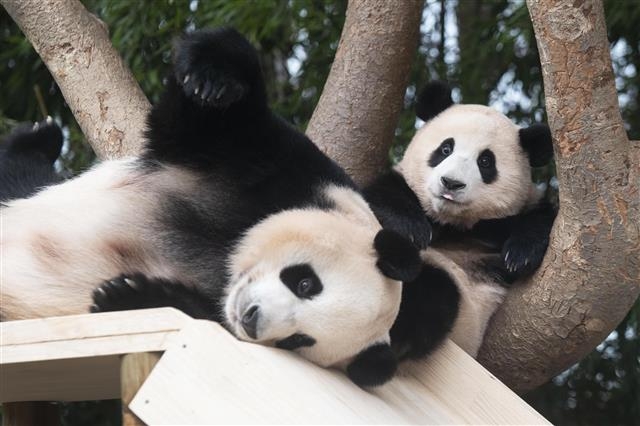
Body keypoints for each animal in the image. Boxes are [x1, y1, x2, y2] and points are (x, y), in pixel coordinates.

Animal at [1, 26, 430, 386]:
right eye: (306, 283)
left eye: (299, 340)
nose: (253, 318)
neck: (229, 249)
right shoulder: (290, 173)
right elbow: (208, 122)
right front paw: (214, 80)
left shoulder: (216, 306)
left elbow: (190, 309)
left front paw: (128, 293)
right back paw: (40, 136)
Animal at [368, 80, 556, 360]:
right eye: (445, 148)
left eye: (486, 161)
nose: (451, 183)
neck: (452, 224)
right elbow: (382, 195)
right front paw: (413, 229)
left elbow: (542, 221)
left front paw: (520, 255)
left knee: (431, 294)